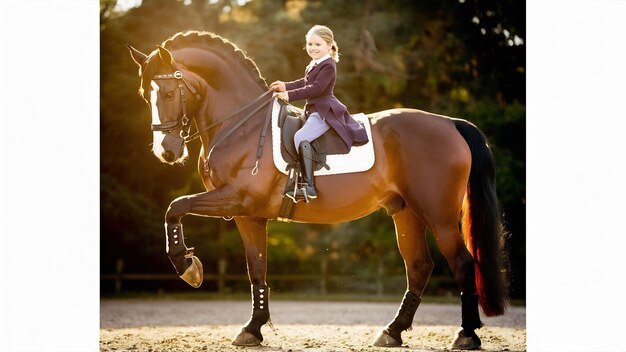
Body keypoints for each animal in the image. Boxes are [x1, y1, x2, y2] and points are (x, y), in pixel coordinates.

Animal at [127, 30, 508, 350]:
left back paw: (466, 335)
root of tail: (450, 124)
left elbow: (175, 207)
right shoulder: (247, 214)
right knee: (418, 267)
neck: (241, 126)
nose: (166, 152)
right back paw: (392, 332)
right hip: (406, 212)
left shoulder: (234, 198)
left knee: (462, 263)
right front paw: (252, 329)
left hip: (438, 215)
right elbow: (256, 269)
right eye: (145, 95)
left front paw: (186, 265)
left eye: (171, 93)